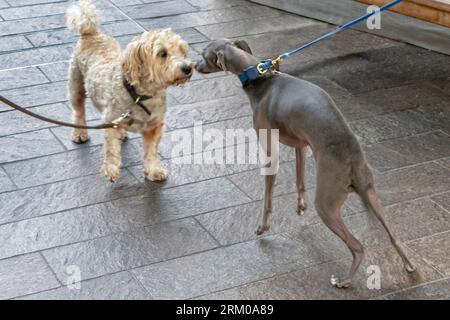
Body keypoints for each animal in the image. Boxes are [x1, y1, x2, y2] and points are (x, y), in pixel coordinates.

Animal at [195, 38, 416, 288]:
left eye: (203, 55)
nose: (194, 66)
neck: (261, 77)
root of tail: (351, 159)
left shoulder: (270, 151)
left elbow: (267, 197)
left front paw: (263, 226)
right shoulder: (300, 144)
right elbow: (299, 178)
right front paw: (300, 205)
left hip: (327, 205)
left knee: (358, 247)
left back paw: (345, 280)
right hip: (370, 193)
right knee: (394, 236)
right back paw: (409, 266)